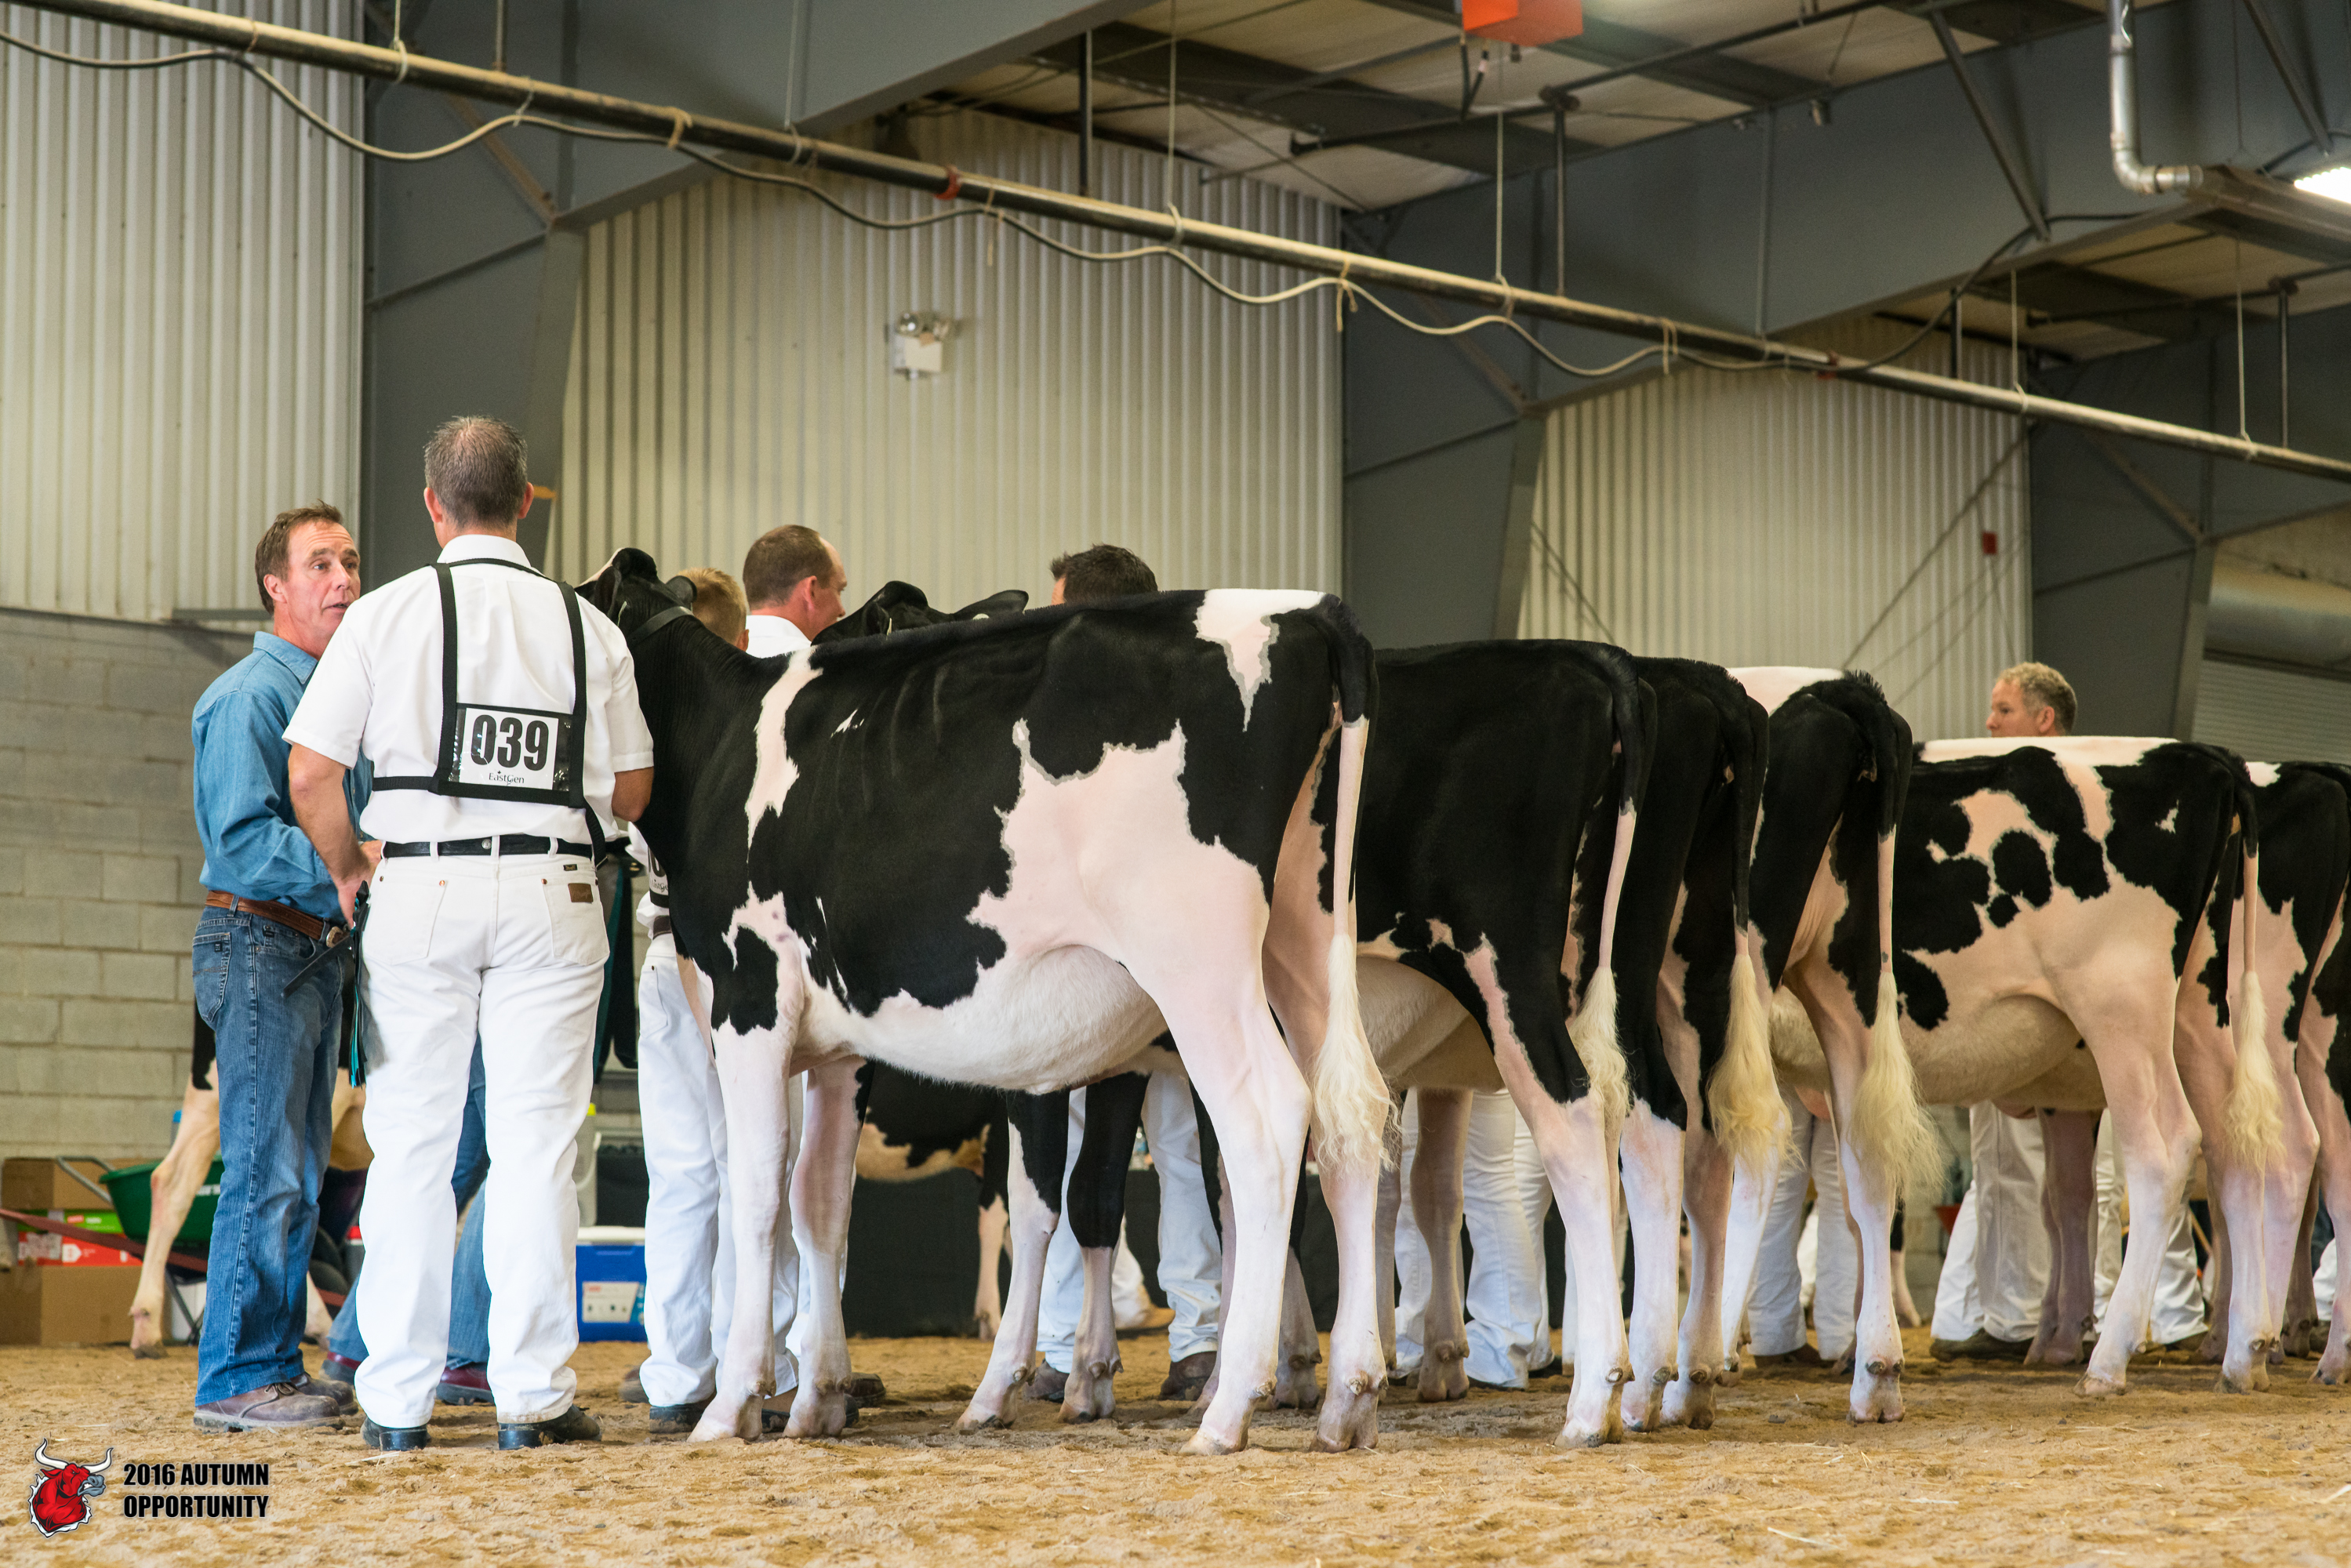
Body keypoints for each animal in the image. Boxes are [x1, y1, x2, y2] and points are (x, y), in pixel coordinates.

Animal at [583, 549, 1391, 1455]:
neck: (716, 748)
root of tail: (1308, 610)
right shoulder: (839, 1047)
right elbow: (820, 1200)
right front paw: (818, 1398)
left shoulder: (749, 996)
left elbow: (757, 1196)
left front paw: (731, 1407)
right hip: (1304, 935)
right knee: (1352, 1117)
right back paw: (1347, 1396)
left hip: (1199, 963)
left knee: (1269, 1123)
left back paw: (1230, 1406)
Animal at [1758, 736, 2283, 1395]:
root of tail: (2208, 756)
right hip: (2198, 1010)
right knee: (2235, 1148)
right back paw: (2244, 1353)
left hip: (2121, 1008)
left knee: (2168, 1149)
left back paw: (2107, 1361)